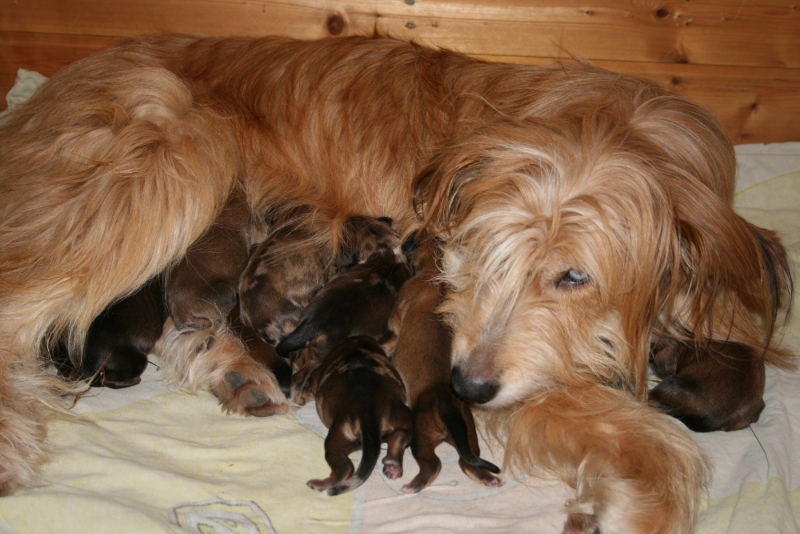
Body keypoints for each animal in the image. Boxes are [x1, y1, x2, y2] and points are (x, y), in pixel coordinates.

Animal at [306, 338, 412, 496]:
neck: (358, 346)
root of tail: (370, 413)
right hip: (403, 414)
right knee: (400, 435)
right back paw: (393, 465)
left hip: (339, 434)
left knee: (345, 468)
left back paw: (319, 484)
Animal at [388, 239, 500, 494]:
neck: (434, 272)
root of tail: (447, 405)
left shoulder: (398, 310)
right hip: (469, 435)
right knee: (468, 462)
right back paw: (488, 478)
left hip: (421, 436)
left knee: (433, 464)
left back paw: (413, 485)